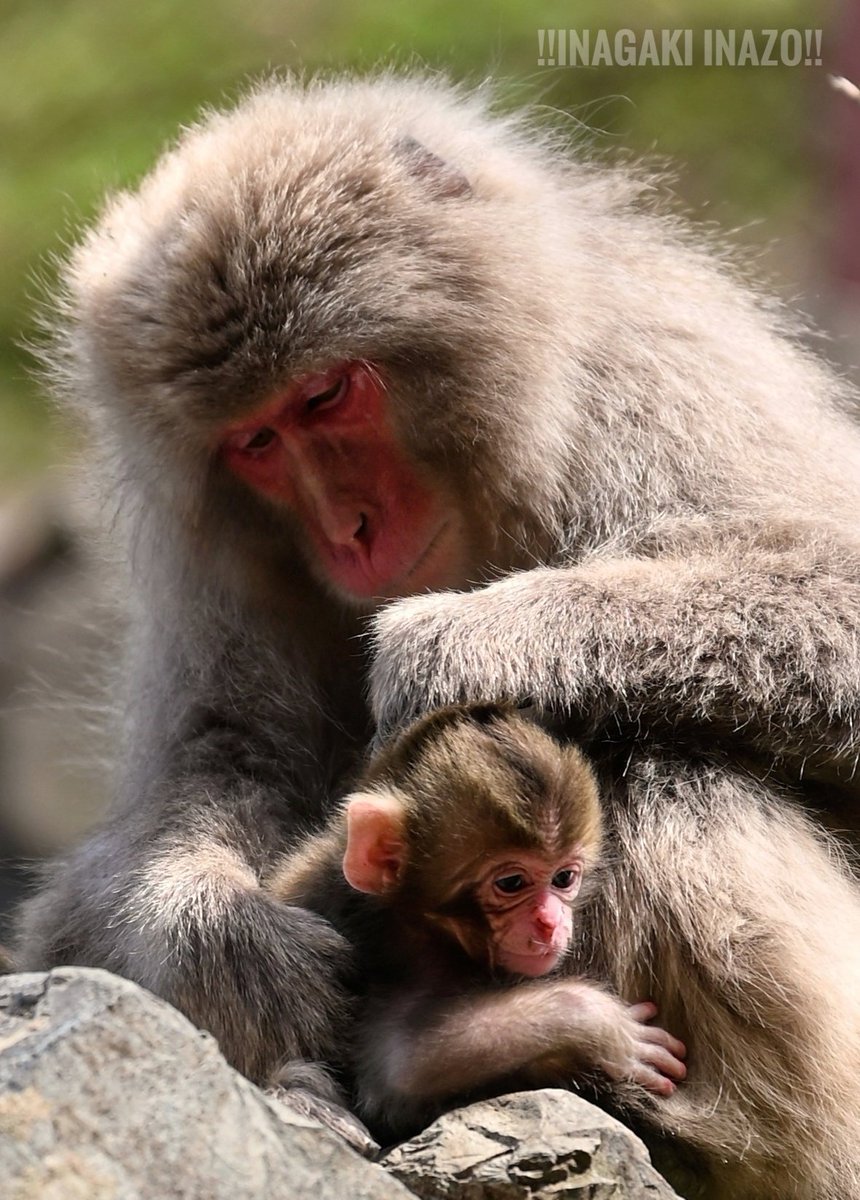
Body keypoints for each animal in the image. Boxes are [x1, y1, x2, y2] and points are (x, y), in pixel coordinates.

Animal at [268, 705, 686, 1137]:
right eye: (511, 883)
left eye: (564, 878)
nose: (551, 922)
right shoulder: (402, 951)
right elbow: (399, 1066)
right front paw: (602, 1024)